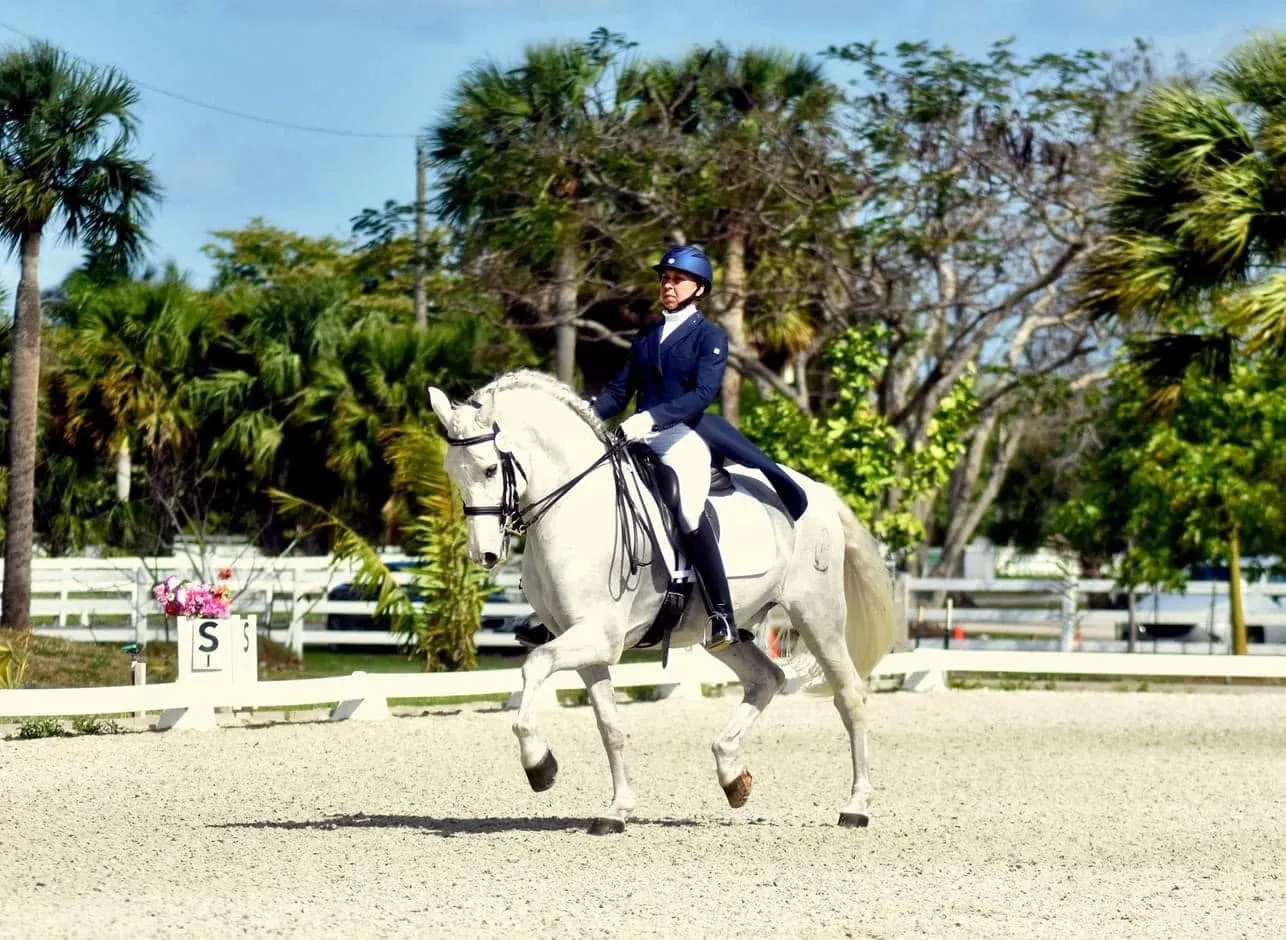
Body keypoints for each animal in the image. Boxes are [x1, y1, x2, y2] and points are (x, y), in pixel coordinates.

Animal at [427, 369, 895, 834]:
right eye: (452, 472)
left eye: (490, 468)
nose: (485, 555)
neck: (577, 509)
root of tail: (817, 491)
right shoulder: (584, 643)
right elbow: (609, 725)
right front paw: (617, 810)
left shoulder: (601, 636)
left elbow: (534, 665)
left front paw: (540, 766)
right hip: (723, 633)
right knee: (767, 679)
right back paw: (733, 776)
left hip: (817, 616)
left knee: (850, 696)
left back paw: (856, 806)